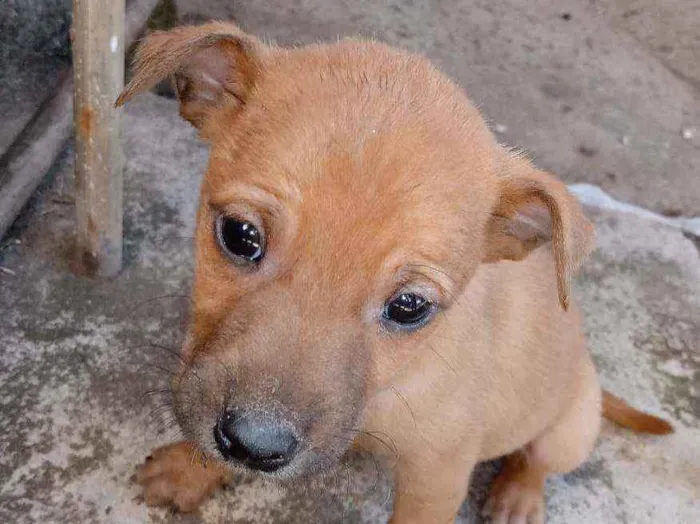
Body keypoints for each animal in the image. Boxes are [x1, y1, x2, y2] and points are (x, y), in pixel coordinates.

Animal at [116, 22, 672, 520]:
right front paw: (188, 471)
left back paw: (518, 497)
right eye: (239, 235)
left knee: (536, 461)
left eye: (409, 306)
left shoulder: (437, 477)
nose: (255, 445)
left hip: (569, 431)